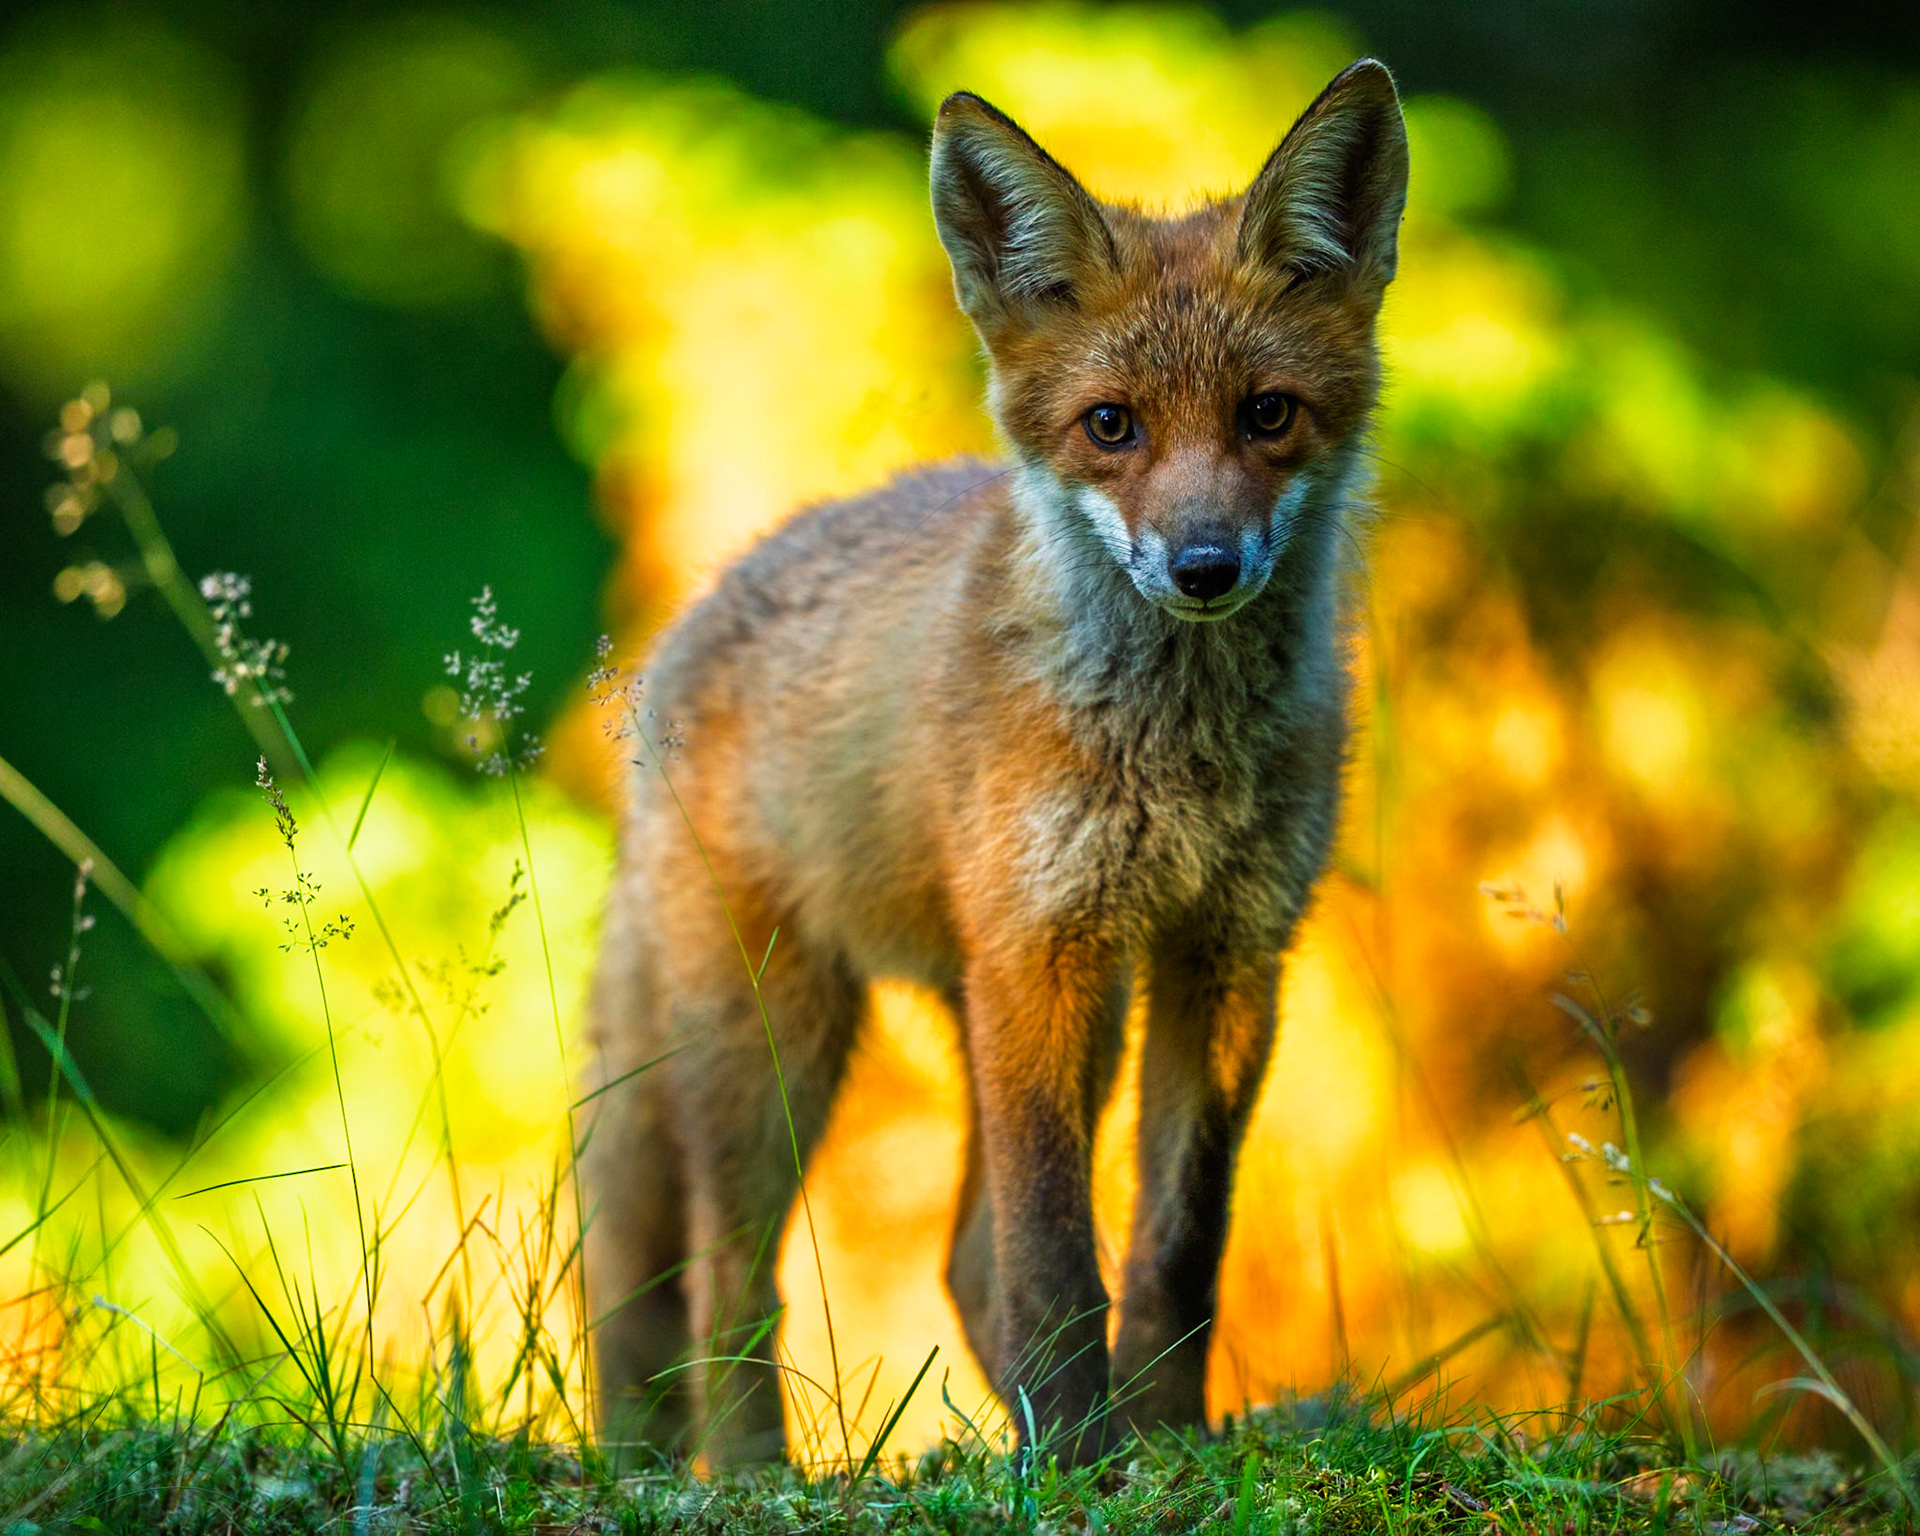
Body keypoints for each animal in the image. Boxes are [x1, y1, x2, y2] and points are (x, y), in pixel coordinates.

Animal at [582, 59, 1410, 1468]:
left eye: (1268, 415)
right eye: (1110, 426)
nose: (1204, 567)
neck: (1177, 758)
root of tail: (706, 599)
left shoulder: (1229, 955)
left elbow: (1177, 1241)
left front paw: (1162, 1439)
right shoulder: (1042, 948)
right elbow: (1052, 1250)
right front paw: (1077, 1460)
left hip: (1018, 1009)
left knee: (954, 1258)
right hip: (774, 1032)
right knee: (727, 1277)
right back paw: (750, 1473)